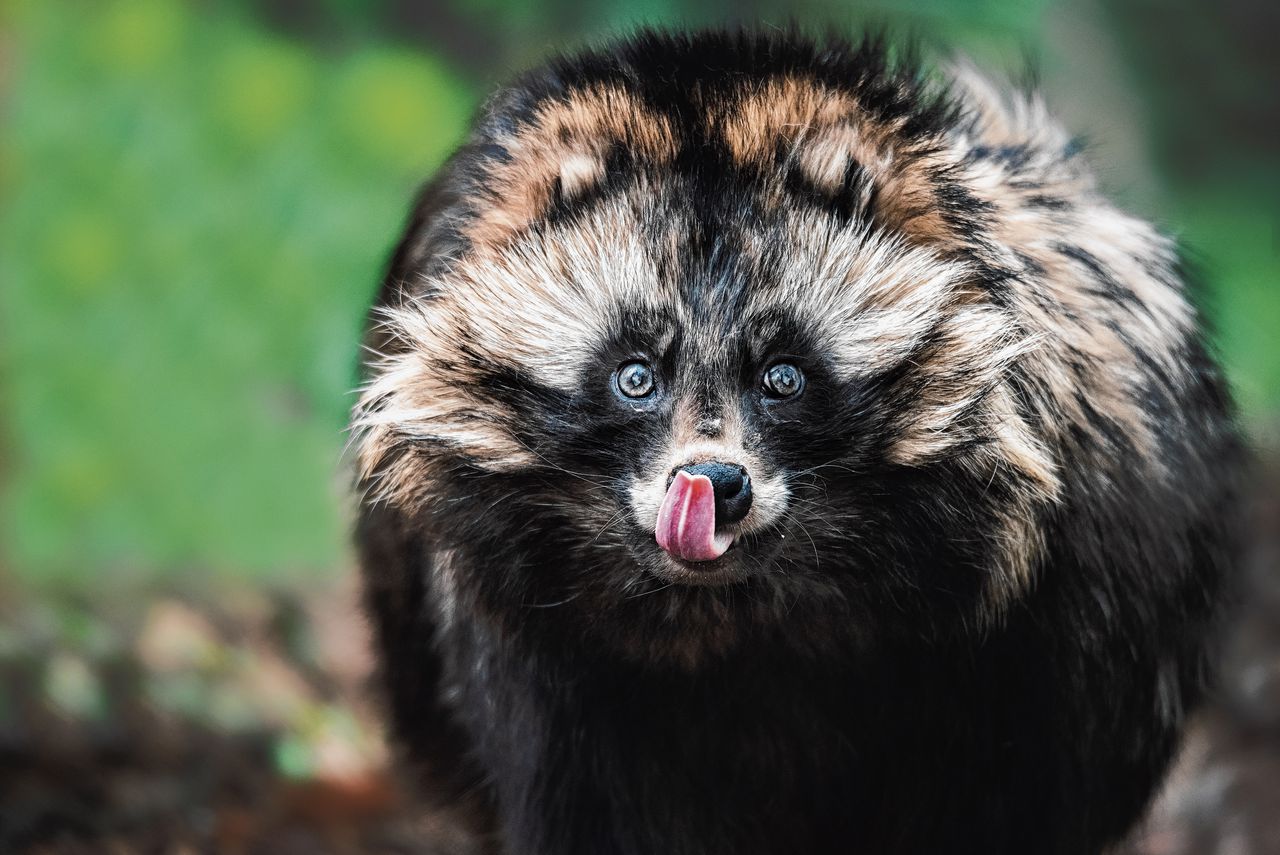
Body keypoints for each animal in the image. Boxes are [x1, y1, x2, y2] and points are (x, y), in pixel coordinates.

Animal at [350, 28, 1239, 855]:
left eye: (783, 376)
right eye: (635, 376)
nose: (713, 483)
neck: (733, 616)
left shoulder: (1038, 650)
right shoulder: (539, 661)